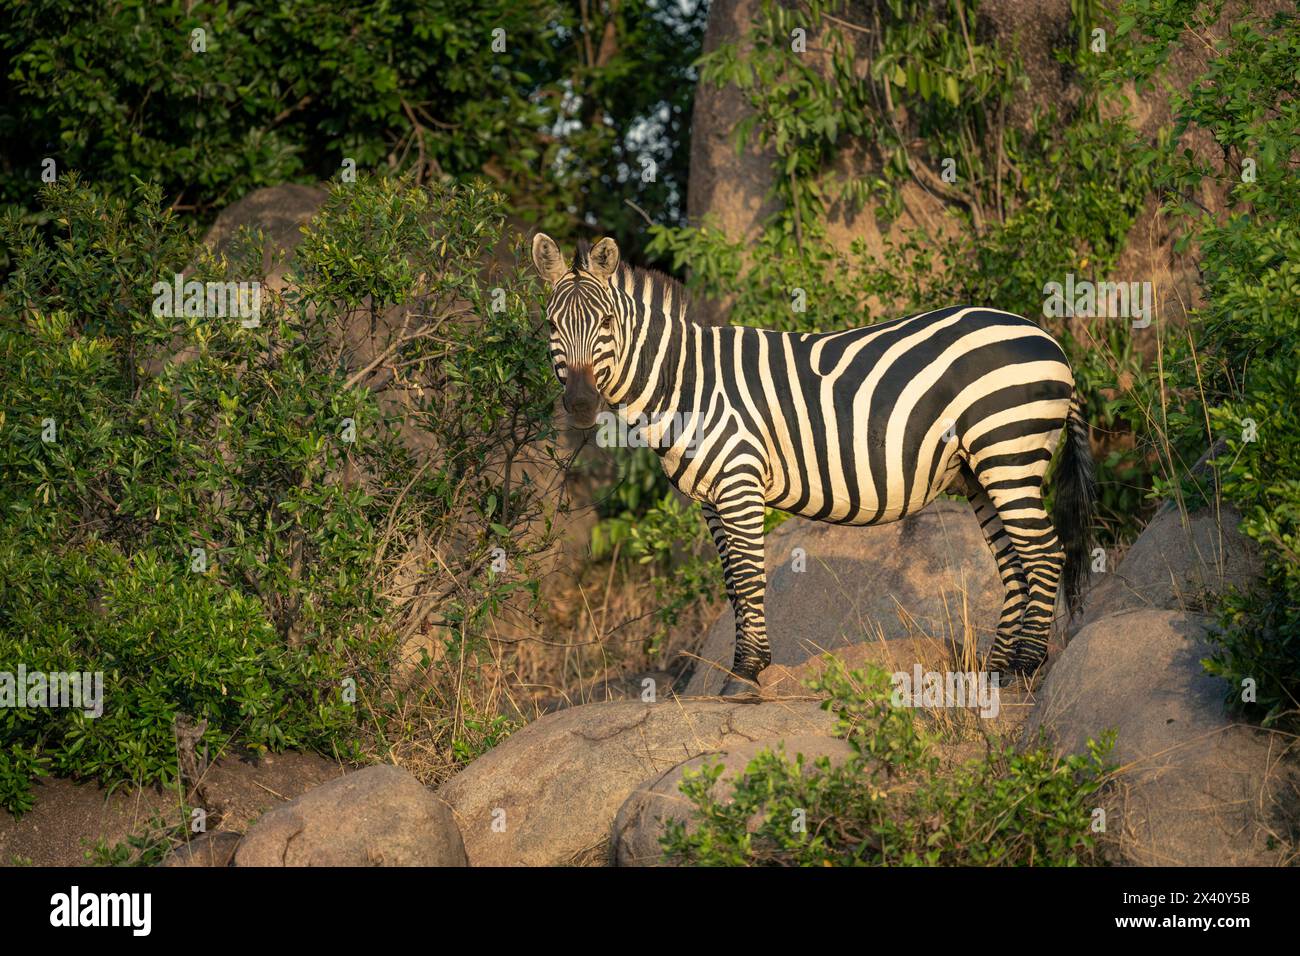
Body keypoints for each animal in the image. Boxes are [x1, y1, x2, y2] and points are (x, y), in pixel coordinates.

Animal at [532, 233, 1096, 688]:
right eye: (551, 324)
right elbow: (733, 584)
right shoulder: (711, 499)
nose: (580, 404)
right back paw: (997, 671)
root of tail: (1052, 342)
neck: (683, 382)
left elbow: (750, 577)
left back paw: (1024, 668)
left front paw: (744, 675)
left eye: (607, 322)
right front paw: (750, 665)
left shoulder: (739, 480)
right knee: (1016, 563)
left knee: (1044, 553)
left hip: (1009, 452)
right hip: (982, 472)